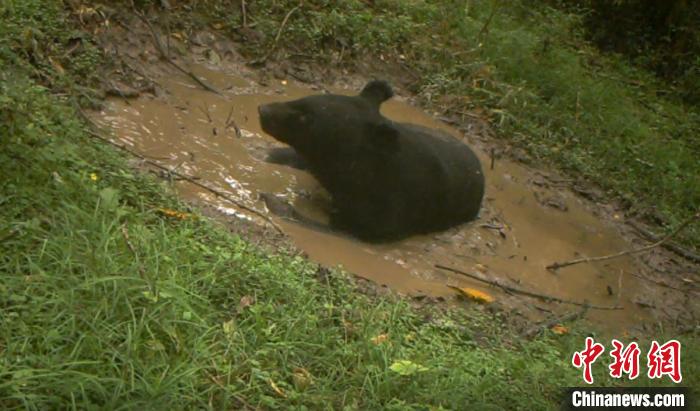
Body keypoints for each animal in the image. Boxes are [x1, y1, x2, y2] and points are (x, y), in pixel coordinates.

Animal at [260, 80, 484, 241]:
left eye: (306, 118)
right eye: (303, 99)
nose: (262, 110)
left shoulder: (382, 215)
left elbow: (339, 228)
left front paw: (272, 200)